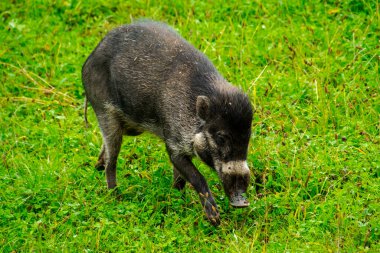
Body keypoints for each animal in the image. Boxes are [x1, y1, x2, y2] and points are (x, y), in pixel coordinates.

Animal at [81, 20, 252, 226]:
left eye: (248, 138)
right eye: (220, 137)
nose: (242, 202)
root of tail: (89, 59)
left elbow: (180, 179)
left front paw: (177, 199)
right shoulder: (173, 144)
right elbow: (196, 176)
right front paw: (215, 219)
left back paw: (96, 168)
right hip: (105, 113)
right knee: (111, 160)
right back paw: (116, 196)